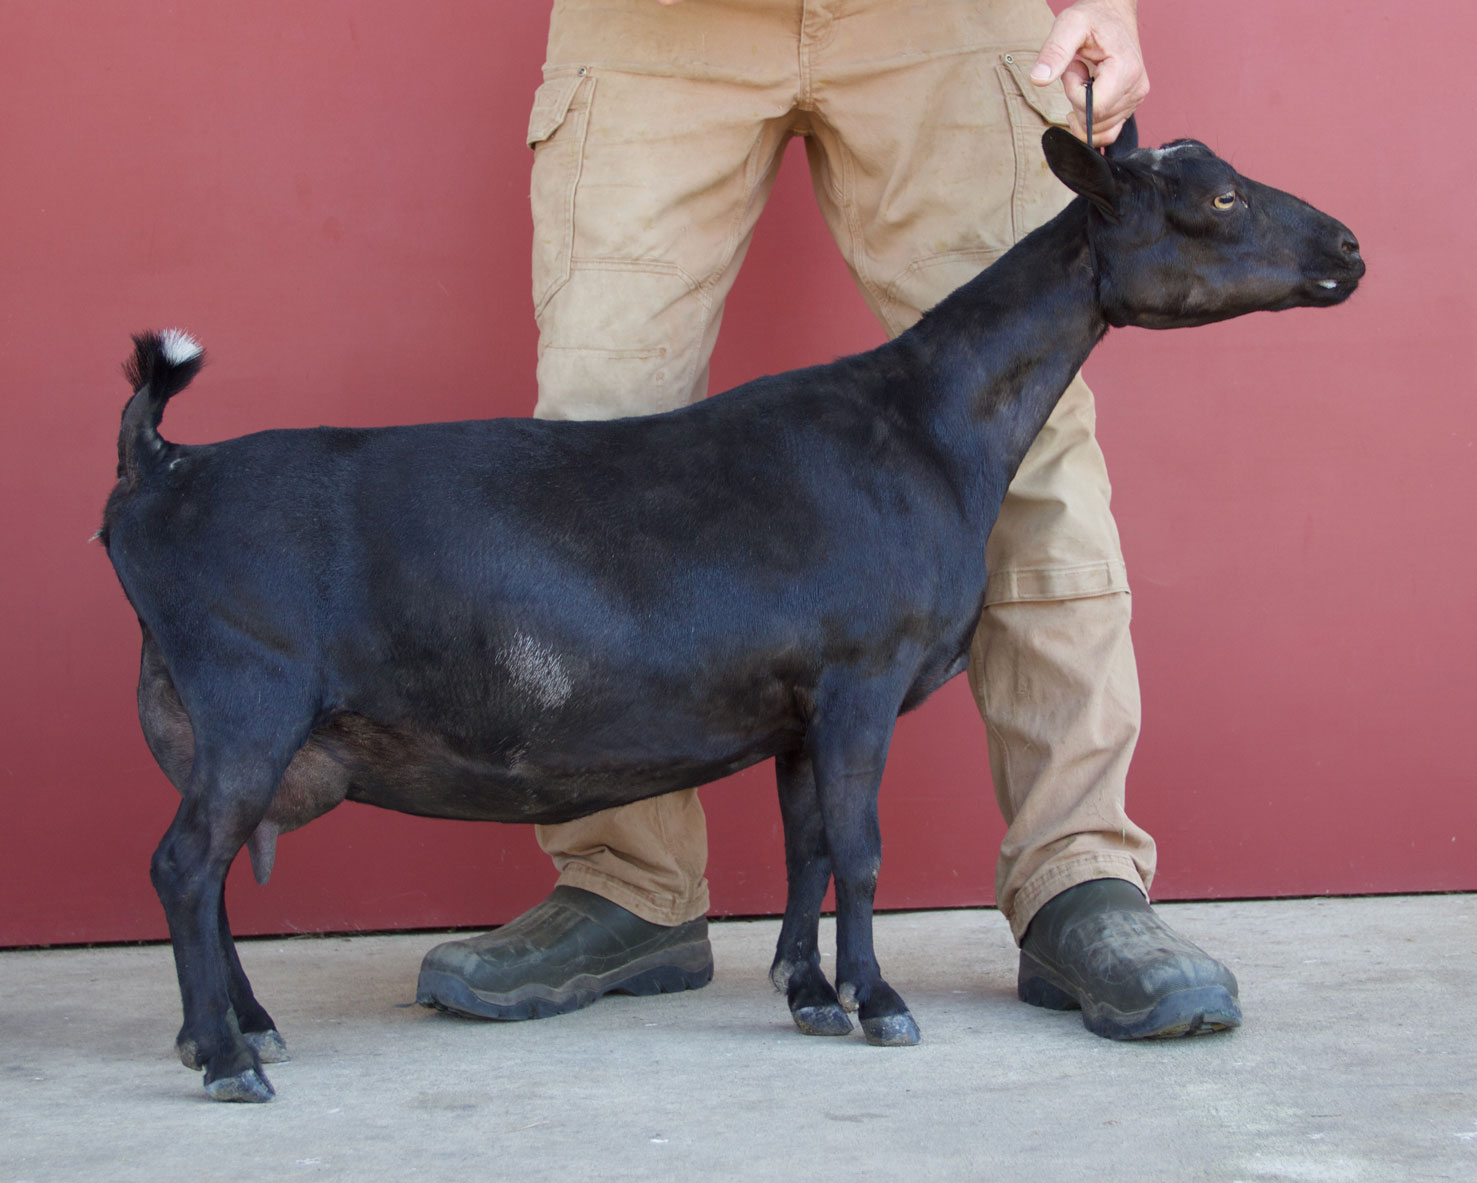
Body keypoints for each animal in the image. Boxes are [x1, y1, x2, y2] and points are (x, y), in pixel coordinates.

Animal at [101, 122, 1358, 1098]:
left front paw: (807, 994)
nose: (1348, 247)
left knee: (208, 869)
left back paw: (241, 1029)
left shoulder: (797, 708)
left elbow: (805, 846)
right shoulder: (860, 676)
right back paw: (225, 1057)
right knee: (183, 865)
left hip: (216, 721)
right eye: (1220, 197)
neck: (923, 426)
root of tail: (161, 470)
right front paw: (880, 1002)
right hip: (249, 695)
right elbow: (859, 848)